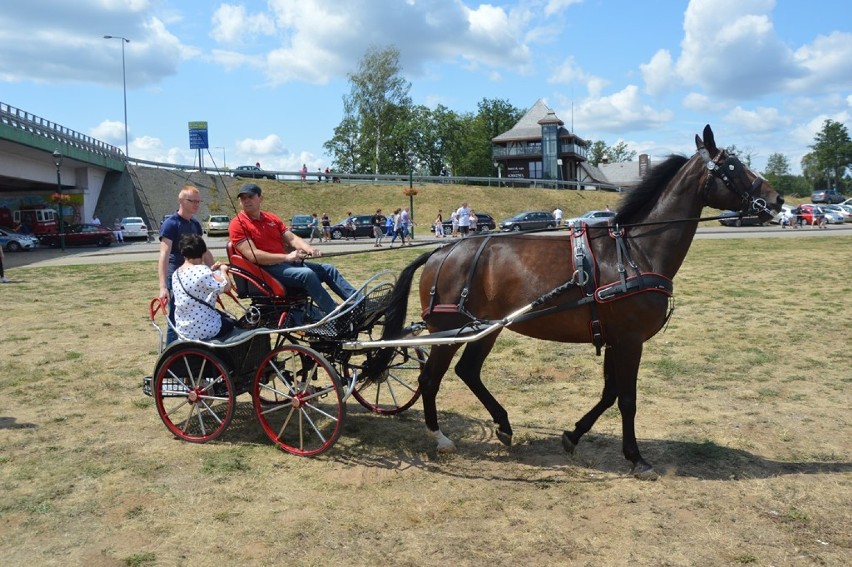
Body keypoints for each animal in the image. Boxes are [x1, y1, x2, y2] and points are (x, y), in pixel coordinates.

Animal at [370, 125, 784, 480]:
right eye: (733, 167)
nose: (777, 200)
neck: (635, 252)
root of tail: (441, 251)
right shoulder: (630, 341)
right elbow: (627, 398)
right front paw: (636, 457)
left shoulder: (616, 339)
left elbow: (610, 393)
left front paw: (574, 435)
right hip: (449, 332)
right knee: (429, 378)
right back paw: (440, 436)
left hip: (483, 329)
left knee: (468, 371)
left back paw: (503, 425)